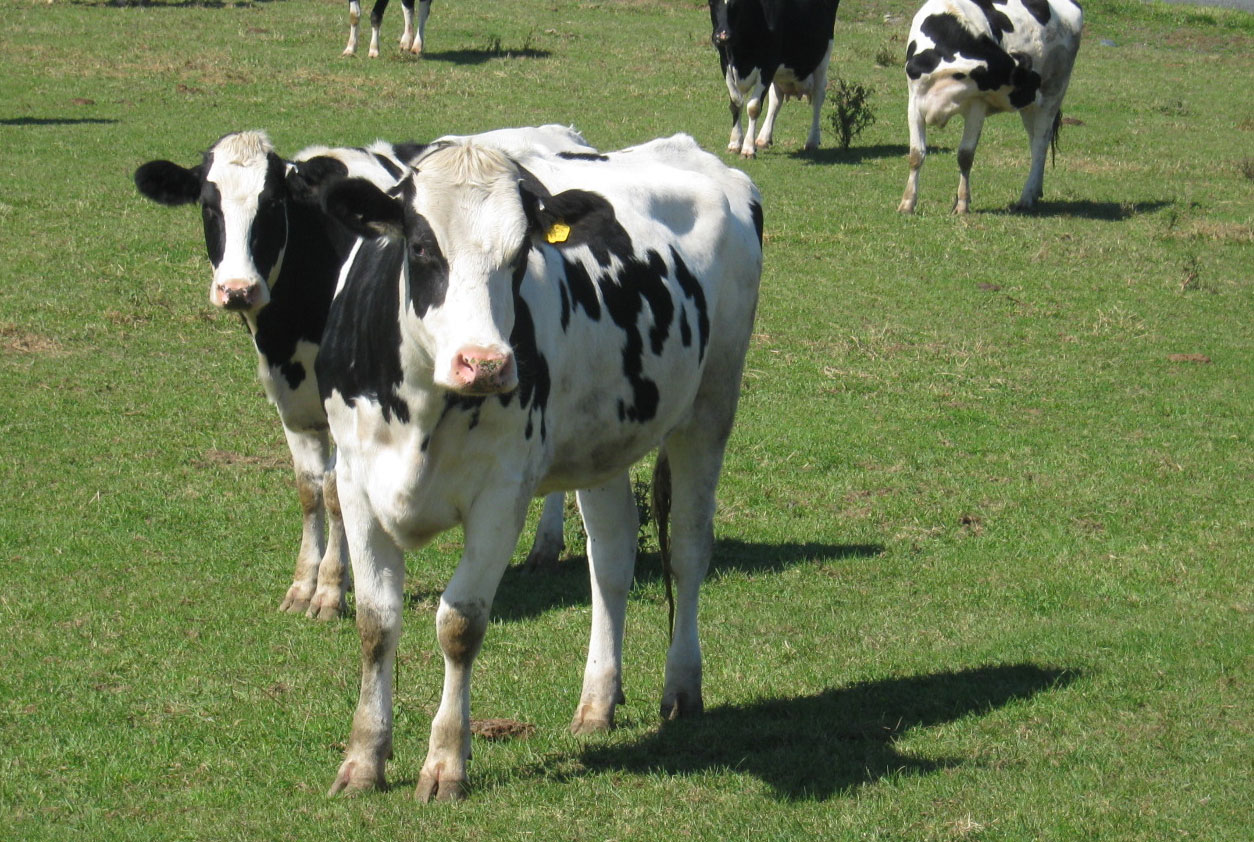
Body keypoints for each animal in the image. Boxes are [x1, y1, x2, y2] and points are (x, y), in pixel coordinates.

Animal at [133, 126, 592, 619]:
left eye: (272, 204)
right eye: (208, 205)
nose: (237, 289)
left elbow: (336, 493)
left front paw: (331, 588)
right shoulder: (294, 405)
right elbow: (310, 489)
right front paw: (303, 584)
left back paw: (545, 544)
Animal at [314, 134, 763, 800]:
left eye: (521, 253)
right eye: (420, 246)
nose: (486, 363)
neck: (421, 406)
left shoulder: (502, 493)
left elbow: (460, 623)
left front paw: (445, 762)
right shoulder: (355, 479)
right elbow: (376, 623)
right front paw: (364, 756)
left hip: (710, 406)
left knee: (686, 549)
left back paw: (681, 687)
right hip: (605, 438)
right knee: (612, 555)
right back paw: (598, 700)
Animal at [708, 0, 841, 157]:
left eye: (737, 3)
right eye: (711, 2)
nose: (723, 36)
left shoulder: (768, 65)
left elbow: (753, 107)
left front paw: (748, 148)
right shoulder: (725, 62)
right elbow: (736, 103)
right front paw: (735, 142)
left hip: (822, 56)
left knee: (818, 97)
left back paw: (812, 140)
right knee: (776, 100)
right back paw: (763, 138)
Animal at [897, 0, 1083, 214]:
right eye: (1028, 80)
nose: (1038, 96)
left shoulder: (977, 104)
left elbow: (965, 155)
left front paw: (962, 203)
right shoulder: (915, 102)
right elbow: (916, 155)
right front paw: (907, 203)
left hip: (1056, 90)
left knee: (1040, 143)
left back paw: (1026, 197)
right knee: (1036, 140)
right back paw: (1035, 191)